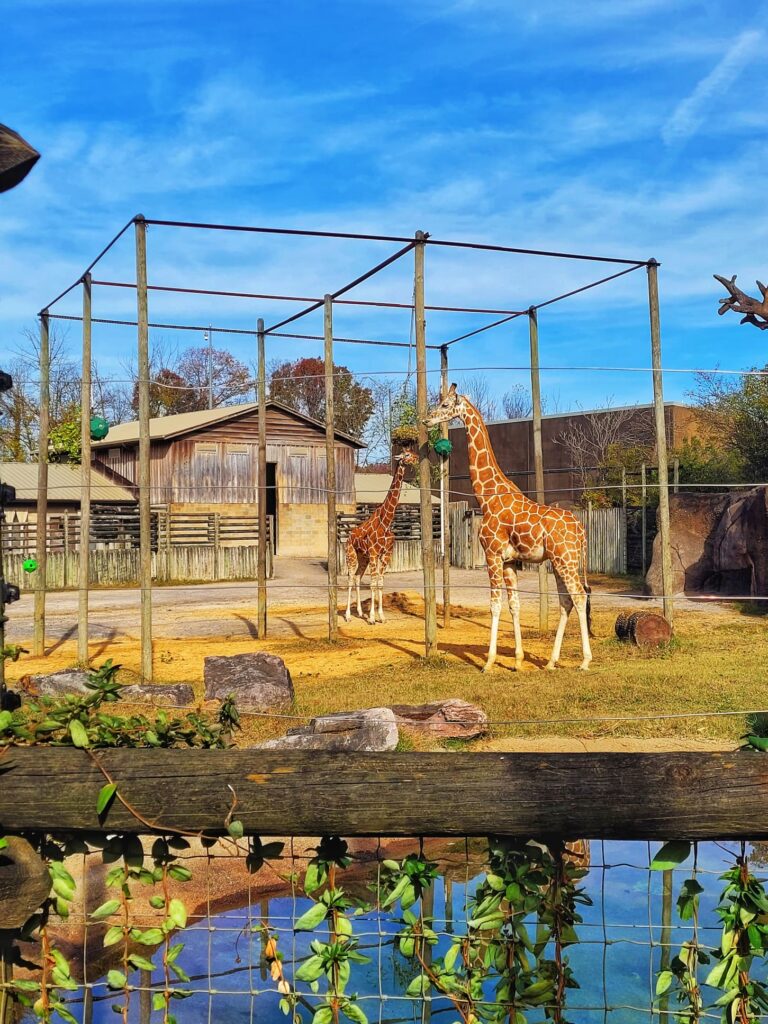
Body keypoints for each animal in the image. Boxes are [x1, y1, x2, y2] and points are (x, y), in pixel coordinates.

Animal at [346, 450, 421, 622]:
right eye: (407, 454)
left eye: (412, 452)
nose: (417, 459)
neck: (386, 522)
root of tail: (349, 536)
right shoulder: (374, 553)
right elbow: (373, 583)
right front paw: (372, 618)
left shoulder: (386, 554)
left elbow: (380, 582)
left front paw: (381, 616)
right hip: (351, 555)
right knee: (351, 578)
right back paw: (347, 615)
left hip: (363, 557)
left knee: (358, 577)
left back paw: (360, 612)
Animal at [428, 385, 593, 671]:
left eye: (446, 404)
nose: (427, 419)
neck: (487, 496)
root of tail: (581, 531)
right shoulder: (509, 561)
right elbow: (514, 605)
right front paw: (517, 660)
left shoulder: (492, 554)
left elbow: (495, 605)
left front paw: (489, 662)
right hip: (559, 562)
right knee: (565, 601)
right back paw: (551, 662)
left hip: (566, 560)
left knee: (580, 597)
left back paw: (584, 661)